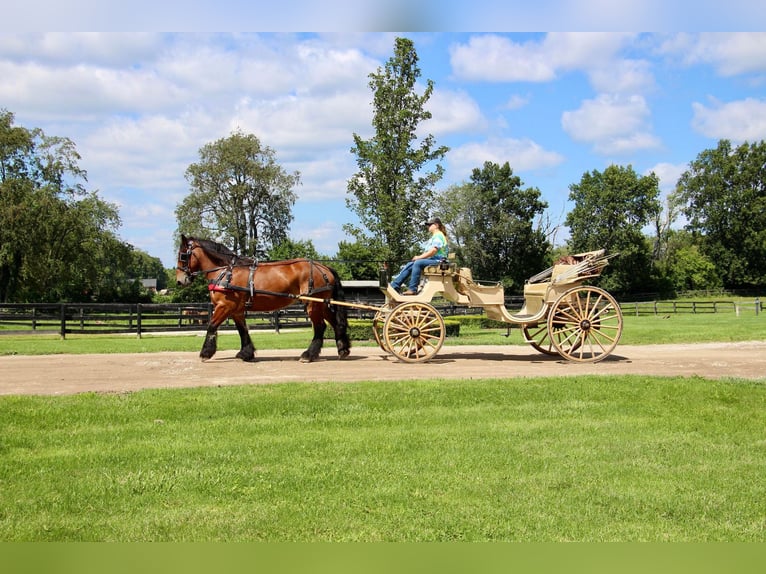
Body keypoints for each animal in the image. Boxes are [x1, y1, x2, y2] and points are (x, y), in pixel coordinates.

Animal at [176, 235, 352, 364]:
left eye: (183, 255)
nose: (179, 280)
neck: (226, 272)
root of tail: (323, 268)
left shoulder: (224, 306)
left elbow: (212, 326)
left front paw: (205, 353)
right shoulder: (237, 310)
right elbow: (242, 330)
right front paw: (246, 353)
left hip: (312, 304)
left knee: (320, 326)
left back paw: (308, 355)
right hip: (322, 304)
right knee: (335, 323)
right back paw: (343, 350)